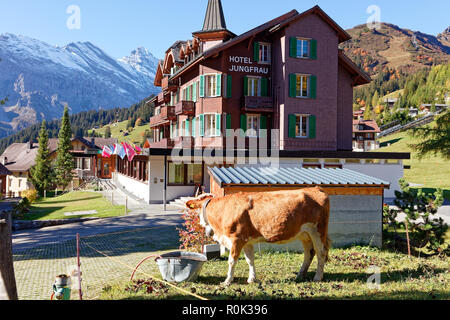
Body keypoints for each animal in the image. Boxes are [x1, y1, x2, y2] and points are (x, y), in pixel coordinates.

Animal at [185, 186, 332, 286]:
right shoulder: (247, 240)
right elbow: (250, 260)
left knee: (321, 252)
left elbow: (232, 261)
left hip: (318, 230)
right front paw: (251, 278)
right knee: (309, 253)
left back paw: (318, 277)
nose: (201, 223)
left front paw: (227, 281)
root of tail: (315, 188)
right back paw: (300, 275)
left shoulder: (236, 239)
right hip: (304, 233)